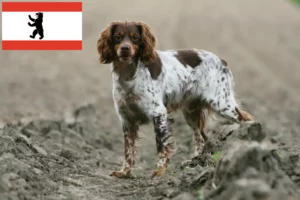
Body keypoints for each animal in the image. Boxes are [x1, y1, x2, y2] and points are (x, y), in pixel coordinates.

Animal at [96, 21, 253, 179]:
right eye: (117, 36)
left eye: (135, 38)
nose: (125, 48)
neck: (128, 74)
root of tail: (222, 61)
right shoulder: (127, 118)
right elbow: (128, 149)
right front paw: (124, 171)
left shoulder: (158, 113)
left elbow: (161, 145)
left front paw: (159, 171)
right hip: (191, 113)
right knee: (201, 138)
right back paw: (194, 162)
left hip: (222, 104)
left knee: (245, 120)